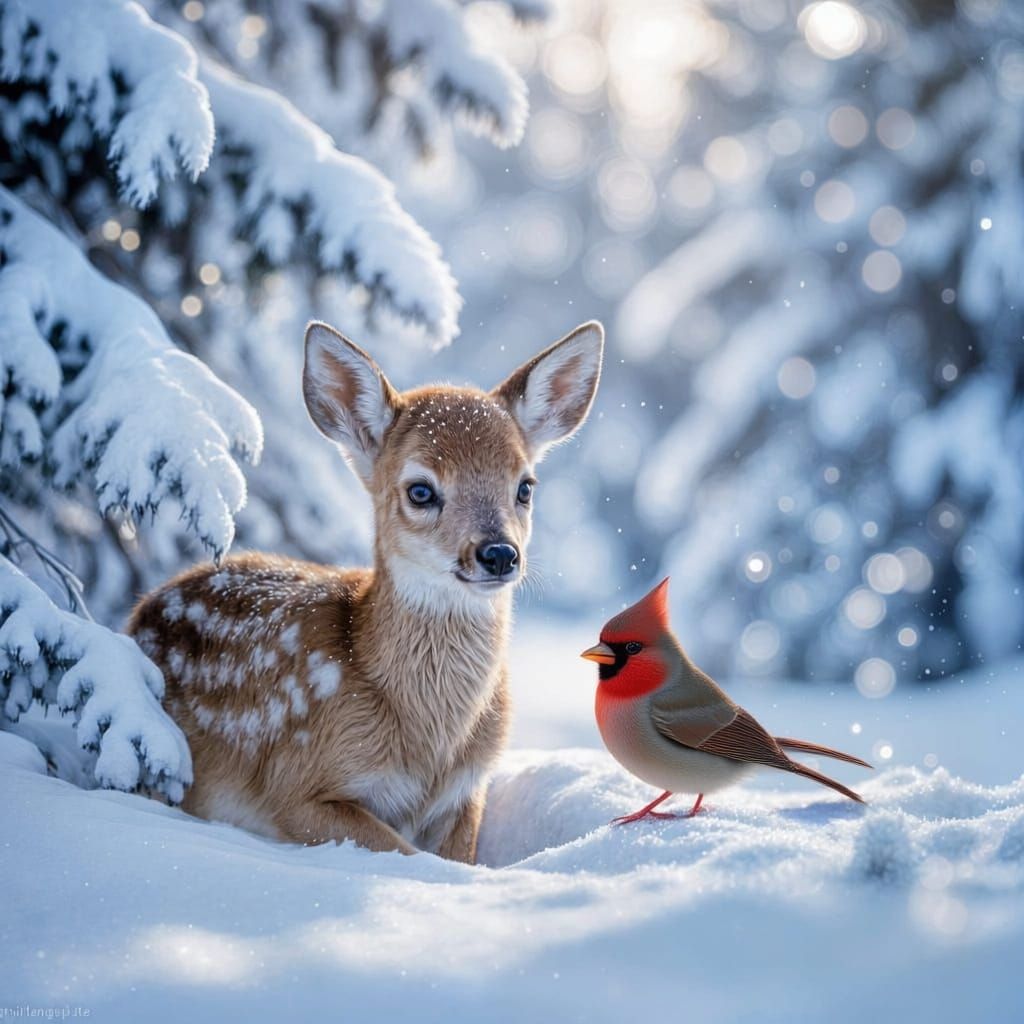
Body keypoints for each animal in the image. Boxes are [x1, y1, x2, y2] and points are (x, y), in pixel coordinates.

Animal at [127, 319, 604, 862]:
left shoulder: (467, 791)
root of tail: (141, 611)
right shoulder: (293, 785)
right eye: (421, 490)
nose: (500, 553)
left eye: (525, 486)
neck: (429, 746)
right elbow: (413, 858)